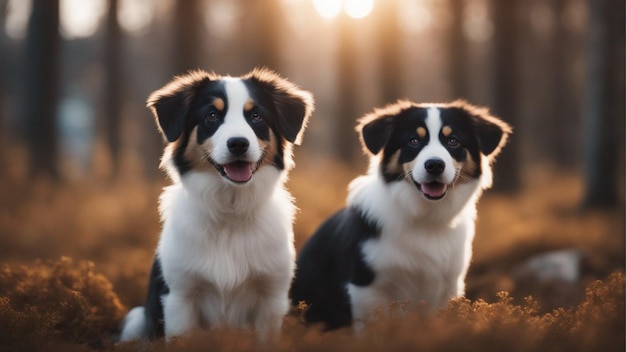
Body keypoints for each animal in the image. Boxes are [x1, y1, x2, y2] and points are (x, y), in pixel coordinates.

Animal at [118, 68, 312, 340]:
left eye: (256, 116)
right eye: (212, 115)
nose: (238, 143)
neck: (229, 212)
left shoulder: (272, 297)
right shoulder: (180, 298)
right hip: (135, 318)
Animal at [290, 99, 510, 330]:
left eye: (453, 141)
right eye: (413, 141)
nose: (435, 165)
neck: (425, 217)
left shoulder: (448, 286)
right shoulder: (366, 287)